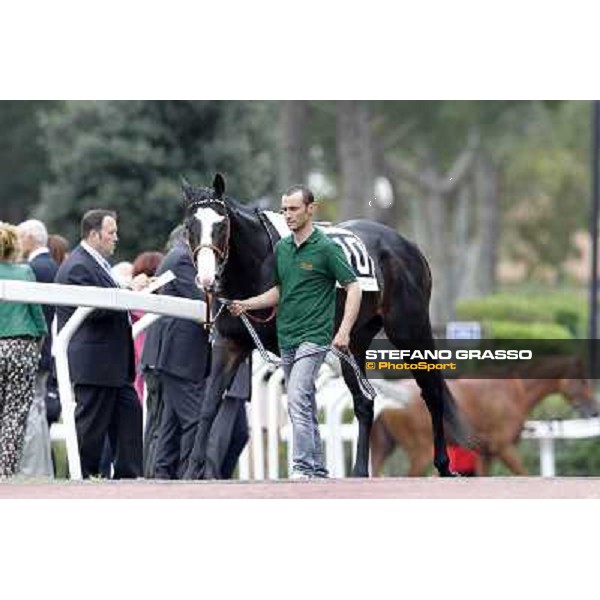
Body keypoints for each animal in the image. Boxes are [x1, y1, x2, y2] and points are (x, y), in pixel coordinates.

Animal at [180, 172, 472, 478]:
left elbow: (302, 404)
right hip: (352, 340)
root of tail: (407, 244)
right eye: (189, 226)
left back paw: (444, 464)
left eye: (222, 224)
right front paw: (191, 471)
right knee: (364, 402)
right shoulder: (230, 343)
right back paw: (359, 470)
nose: (206, 278)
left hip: (410, 329)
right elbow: (209, 405)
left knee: (432, 390)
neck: (256, 265)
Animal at [372, 354, 596, 476]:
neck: (516, 390)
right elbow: (524, 473)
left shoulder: (486, 455)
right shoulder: (504, 448)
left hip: (385, 449)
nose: (594, 409)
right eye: (582, 380)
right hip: (421, 453)